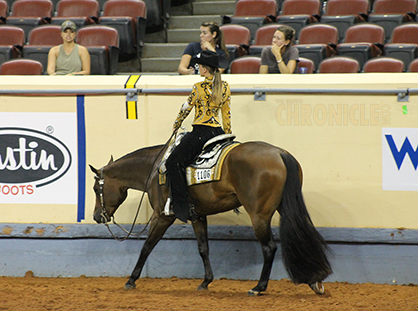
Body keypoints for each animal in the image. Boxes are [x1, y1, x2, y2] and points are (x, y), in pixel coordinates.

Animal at [90, 140, 332, 296]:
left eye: (95, 188)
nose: (97, 216)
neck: (155, 169)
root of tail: (279, 153)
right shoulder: (198, 216)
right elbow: (203, 248)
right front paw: (206, 282)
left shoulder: (162, 217)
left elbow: (147, 246)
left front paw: (131, 280)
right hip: (284, 205)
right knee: (302, 236)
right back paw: (315, 282)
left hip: (259, 215)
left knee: (269, 248)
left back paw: (259, 287)